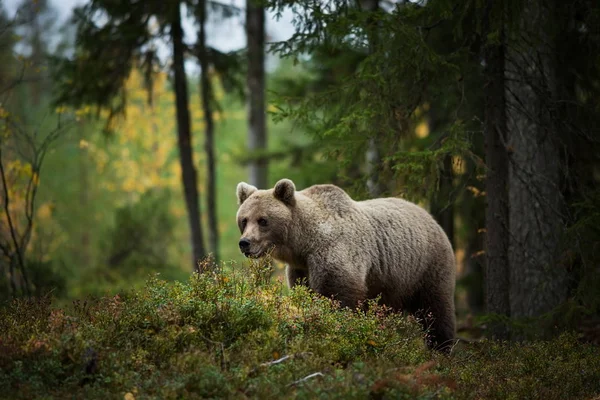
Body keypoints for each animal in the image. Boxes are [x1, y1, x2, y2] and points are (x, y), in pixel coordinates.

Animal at [234, 180, 454, 352]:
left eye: (263, 220)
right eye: (244, 220)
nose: (245, 243)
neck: (303, 244)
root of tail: (429, 217)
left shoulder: (336, 254)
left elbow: (339, 297)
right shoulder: (302, 269)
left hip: (426, 267)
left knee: (435, 310)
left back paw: (440, 349)